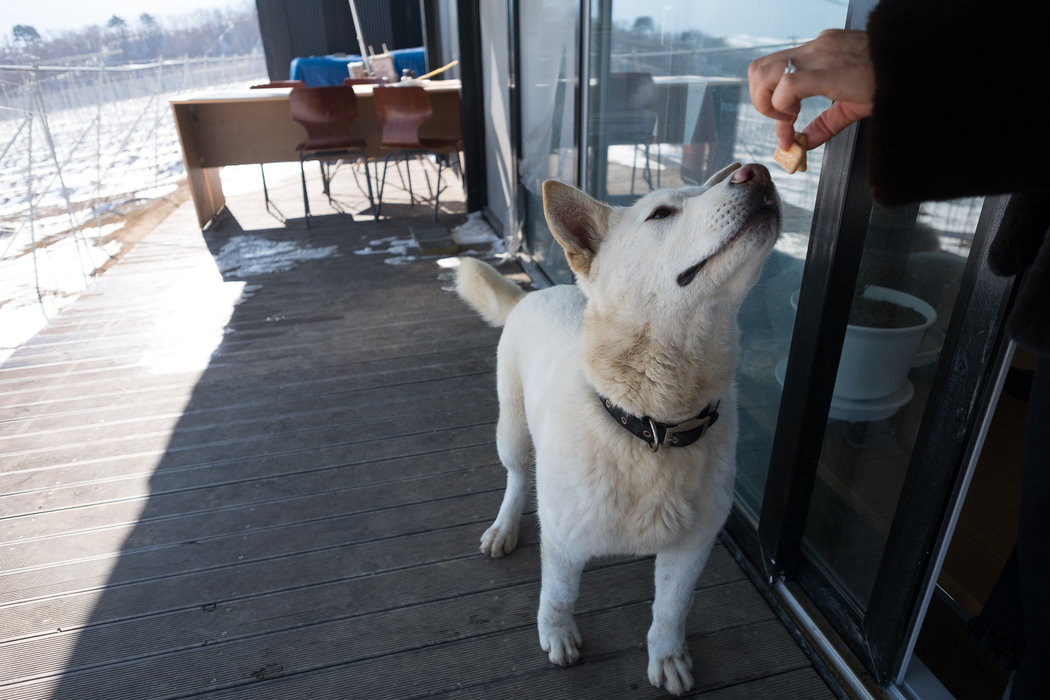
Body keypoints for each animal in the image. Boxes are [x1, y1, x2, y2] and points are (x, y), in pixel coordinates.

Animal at [453, 162, 781, 696]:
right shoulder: (563, 541)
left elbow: (670, 609)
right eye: (662, 213)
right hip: (513, 431)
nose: (759, 173)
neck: (652, 425)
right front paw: (557, 634)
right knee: (518, 477)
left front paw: (667, 657)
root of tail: (537, 292)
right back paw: (504, 526)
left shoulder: (692, 547)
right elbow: (559, 595)